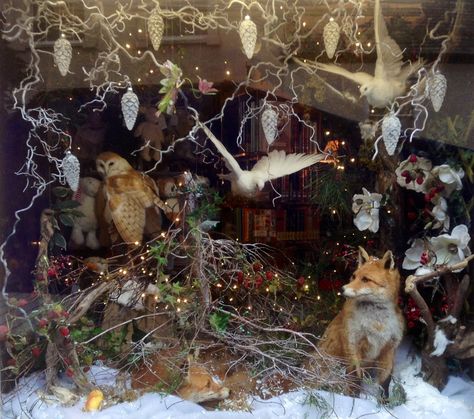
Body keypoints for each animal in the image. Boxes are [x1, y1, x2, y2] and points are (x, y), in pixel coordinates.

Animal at [318, 248, 404, 398]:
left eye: (365, 279)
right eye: (354, 276)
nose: (342, 289)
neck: (377, 323)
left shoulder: (389, 349)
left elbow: (385, 383)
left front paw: (385, 403)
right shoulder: (353, 344)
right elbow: (355, 378)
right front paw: (355, 400)